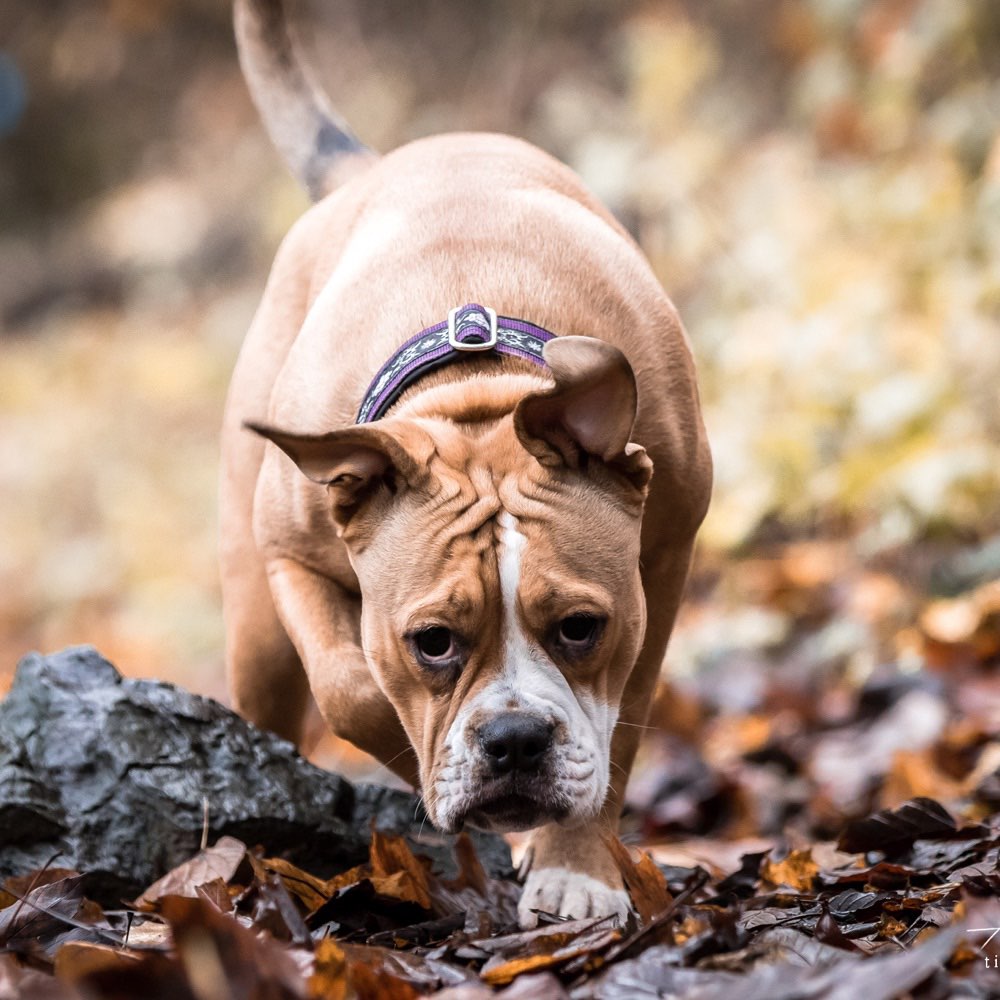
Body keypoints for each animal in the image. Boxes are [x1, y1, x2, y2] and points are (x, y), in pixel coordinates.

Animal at [224, 0, 716, 928]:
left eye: (580, 627)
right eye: (433, 642)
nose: (513, 739)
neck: (477, 394)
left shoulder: (659, 569)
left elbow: (616, 726)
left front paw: (573, 864)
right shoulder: (288, 555)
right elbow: (350, 685)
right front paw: (422, 761)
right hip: (256, 625)